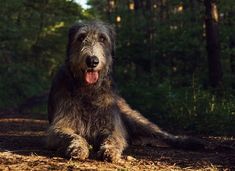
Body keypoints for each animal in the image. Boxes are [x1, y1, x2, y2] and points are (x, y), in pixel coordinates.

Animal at [46, 20, 203, 162]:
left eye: (102, 38)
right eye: (81, 37)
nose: (92, 61)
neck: (88, 91)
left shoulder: (112, 124)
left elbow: (114, 137)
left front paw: (110, 150)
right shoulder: (61, 124)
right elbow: (70, 135)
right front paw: (78, 147)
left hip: (135, 119)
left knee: (161, 134)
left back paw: (189, 141)